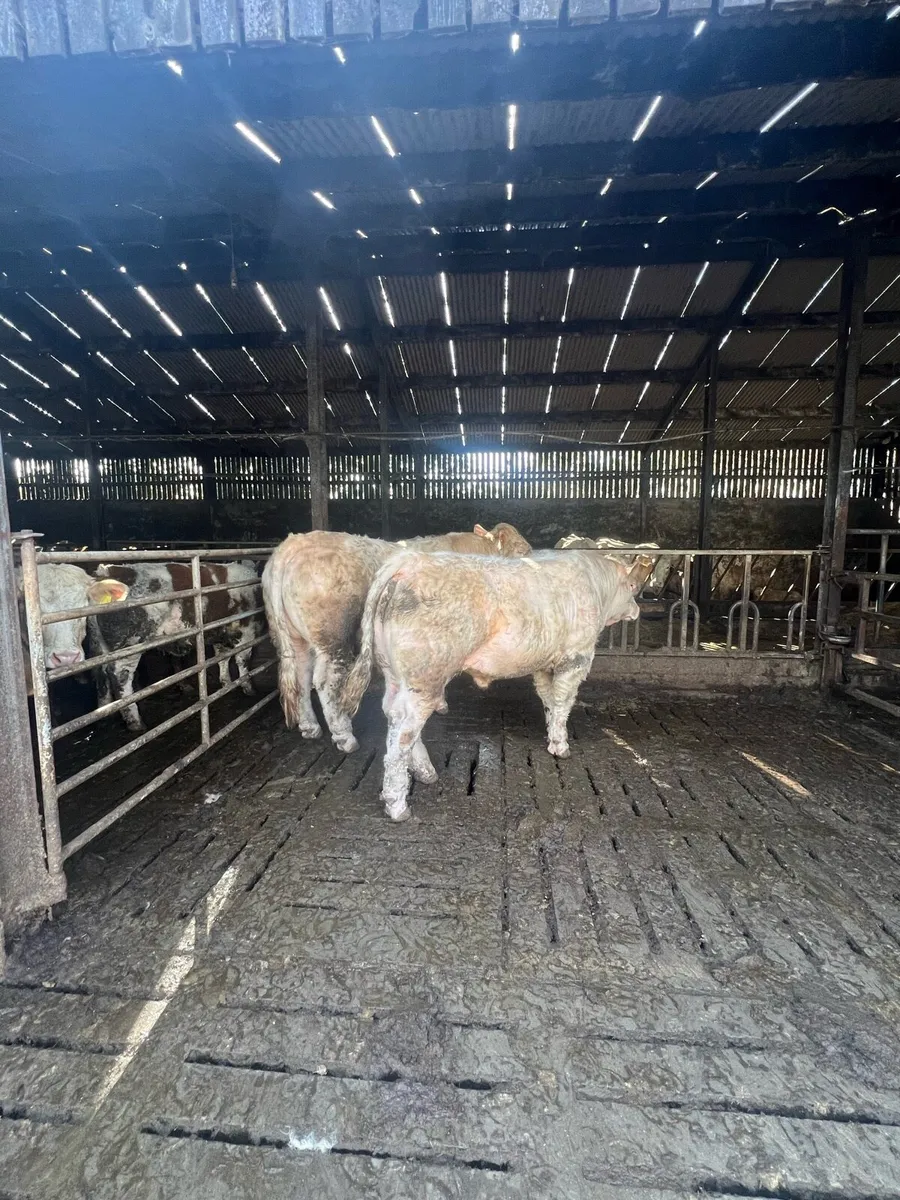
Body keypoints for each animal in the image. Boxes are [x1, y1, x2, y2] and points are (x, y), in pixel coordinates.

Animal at [88, 561, 262, 733]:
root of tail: (108, 572)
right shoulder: (247, 629)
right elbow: (243, 659)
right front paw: (248, 687)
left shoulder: (221, 632)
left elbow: (222, 658)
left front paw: (226, 683)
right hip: (129, 645)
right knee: (120, 677)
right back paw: (135, 722)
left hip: (99, 646)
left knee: (101, 675)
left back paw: (105, 715)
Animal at [263, 523, 532, 755]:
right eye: (521, 550)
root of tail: (294, 543)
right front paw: (441, 704)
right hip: (333, 637)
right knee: (324, 680)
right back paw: (344, 735)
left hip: (295, 637)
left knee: (301, 674)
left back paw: (310, 726)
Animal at [342, 548, 651, 821]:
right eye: (632, 586)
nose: (637, 611)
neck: (598, 587)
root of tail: (410, 561)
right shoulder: (577, 656)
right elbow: (564, 701)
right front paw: (561, 747)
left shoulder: (542, 663)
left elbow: (549, 700)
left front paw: (551, 736)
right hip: (425, 676)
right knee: (403, 732)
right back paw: (398, 807)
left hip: (395, 673)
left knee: (392, 715)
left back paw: (426, 773)